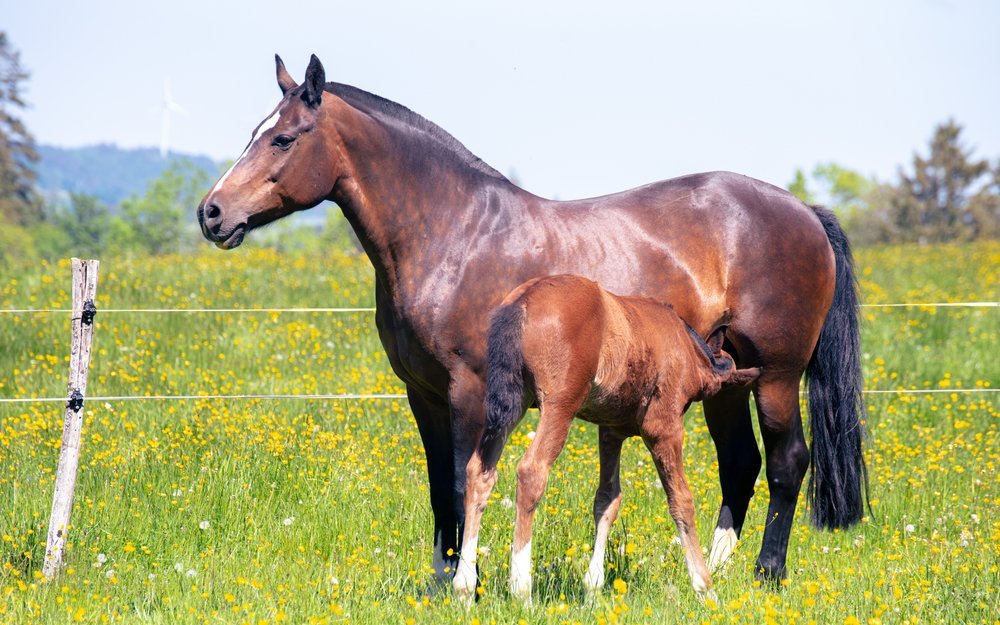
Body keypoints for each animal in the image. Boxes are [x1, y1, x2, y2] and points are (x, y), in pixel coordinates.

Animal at [454, 276, 756, 600]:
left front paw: (593, 588)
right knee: (531, 471)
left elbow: (607, 500)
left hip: (511, 404)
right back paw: (521, 589)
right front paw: (705, 587)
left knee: (479, 472)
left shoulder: (611, 430)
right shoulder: (663, 428)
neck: (686, 347)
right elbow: (681, 500)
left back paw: (464, 587)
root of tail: (522, 300)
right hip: (560, 405)